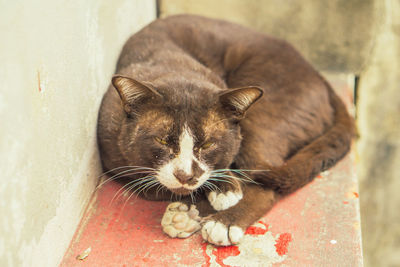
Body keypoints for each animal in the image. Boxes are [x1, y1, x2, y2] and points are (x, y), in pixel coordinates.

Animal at [97, 13, 354, 246]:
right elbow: (157, 188)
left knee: (265, 182)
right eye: (161, 141)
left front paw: (223, 192)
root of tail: (320, 78)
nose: (186, 175)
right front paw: (199, 203)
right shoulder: (119, 165)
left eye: (208, 144)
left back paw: (223, 222)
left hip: (260, 113)